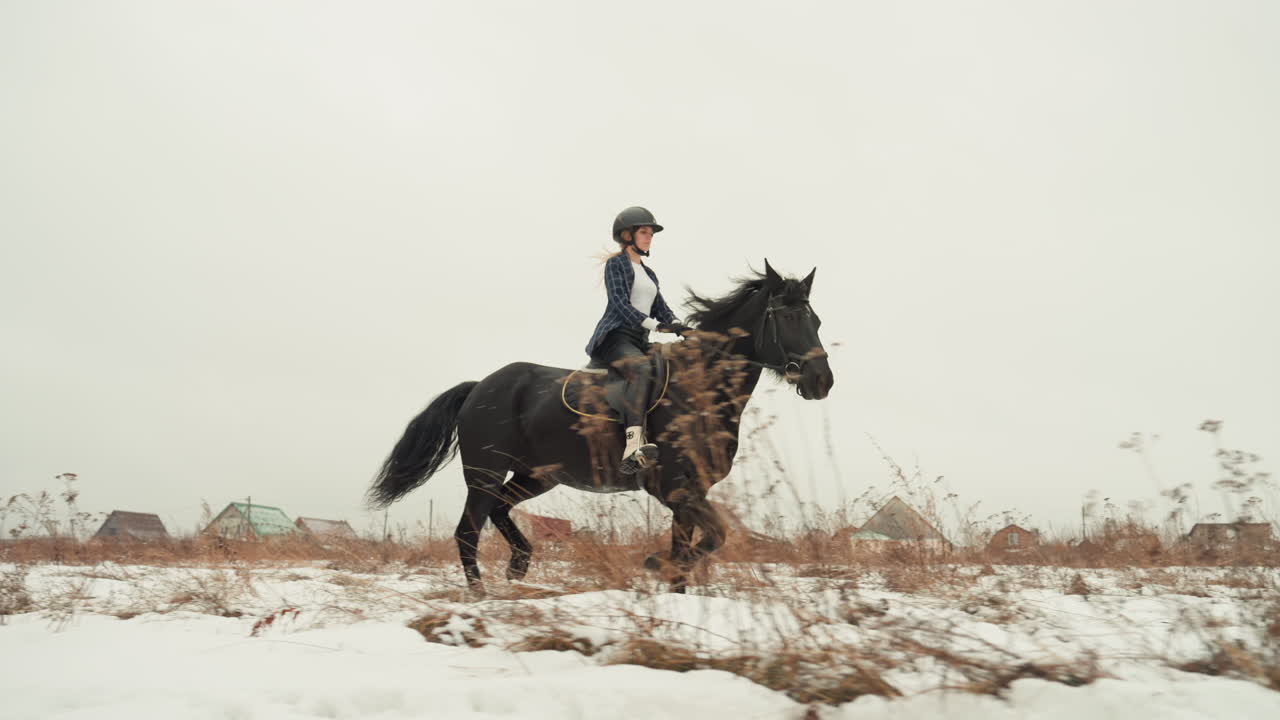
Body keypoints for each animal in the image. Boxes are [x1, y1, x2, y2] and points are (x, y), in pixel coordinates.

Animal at [367, 260, 833, 594]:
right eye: (789, 319)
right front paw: (655, 564)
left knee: (499, 510)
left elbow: (689, 548)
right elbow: (716, 535)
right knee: (467, 531)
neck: (700, 388)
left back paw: (519, 564)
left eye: (817, 321)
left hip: (538, 475)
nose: (821, 381)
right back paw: (481, 596)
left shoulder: (689, 492)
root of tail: (480, 385)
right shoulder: (672, 486)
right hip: (484, 472)